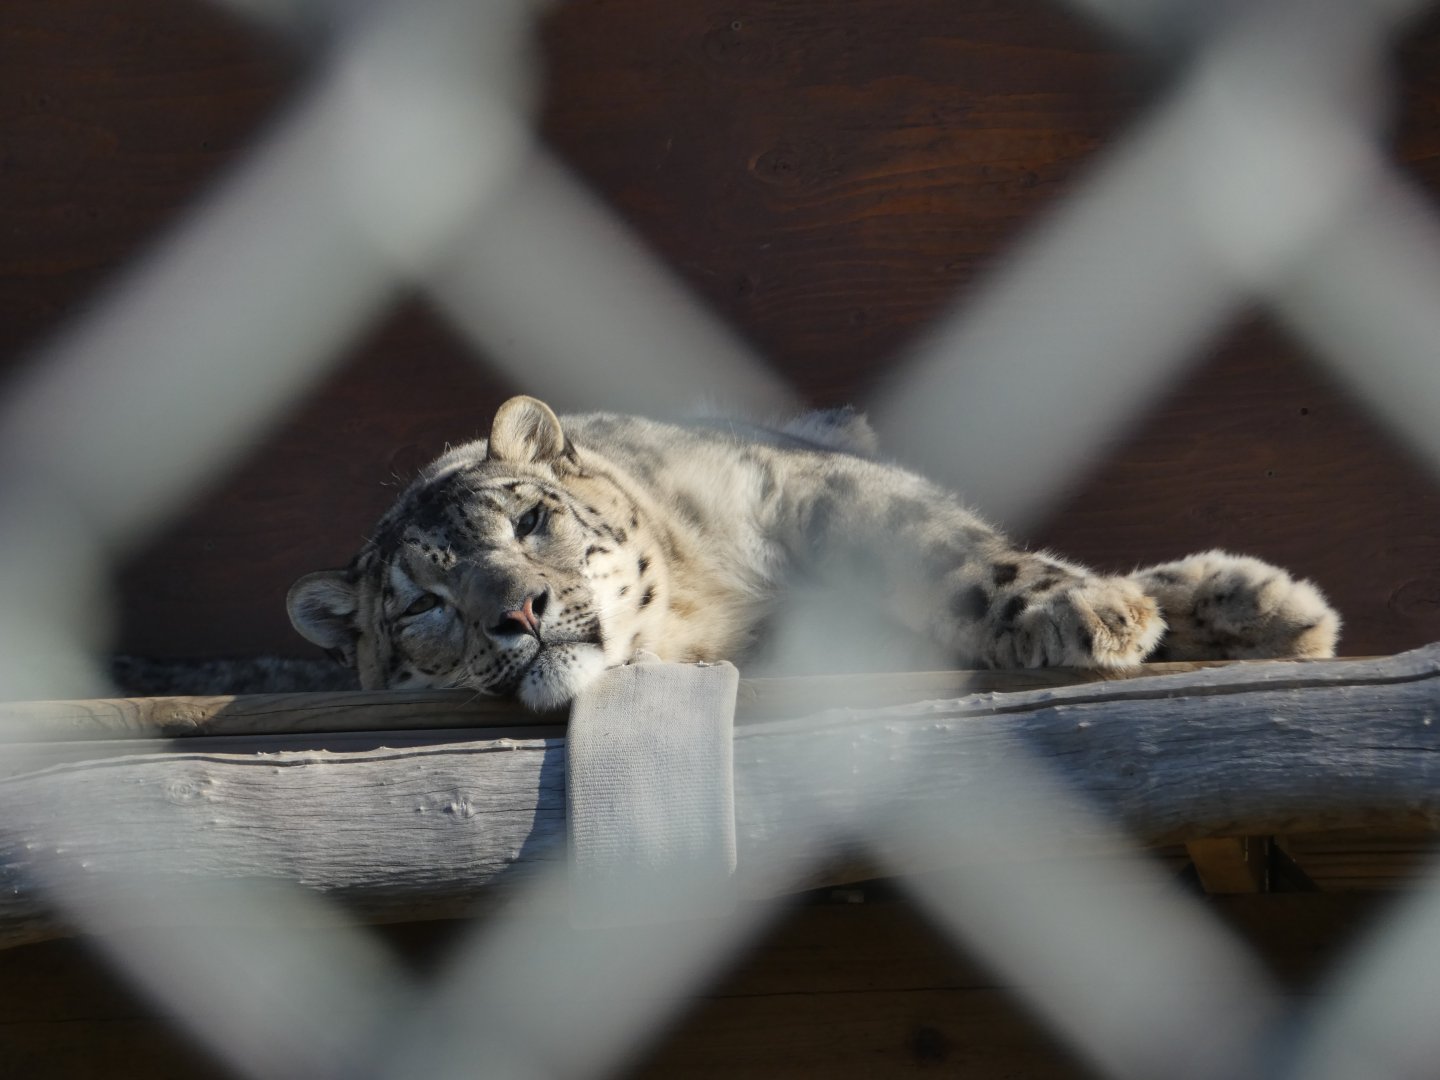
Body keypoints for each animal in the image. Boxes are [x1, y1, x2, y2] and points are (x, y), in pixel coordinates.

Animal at [286, 395, 1340, 711]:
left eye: (531, 521)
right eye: (422, 605)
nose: (520, 612)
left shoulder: (809, 485)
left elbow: (952, 553)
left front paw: (1087, 612)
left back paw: (1254, 603)